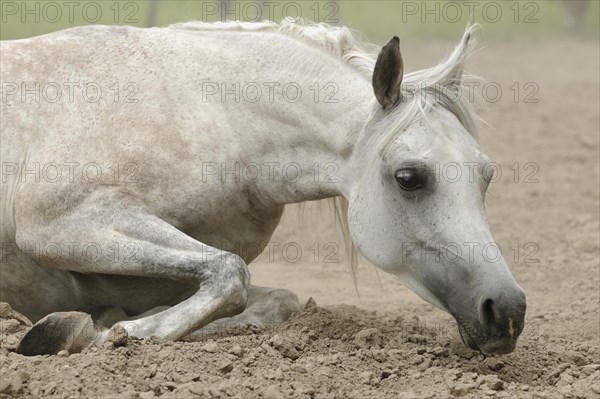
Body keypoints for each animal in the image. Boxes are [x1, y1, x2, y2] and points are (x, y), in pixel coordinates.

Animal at [0, 20, 524, 354]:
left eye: (486, 174)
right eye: (410, 178)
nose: (508, 311)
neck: (212, 114)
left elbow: (273, 298)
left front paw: (101, 325)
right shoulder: (58, 222)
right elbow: (230, 273)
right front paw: (118, 334)